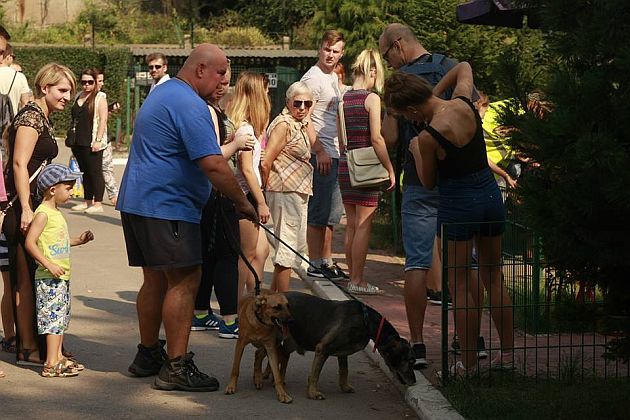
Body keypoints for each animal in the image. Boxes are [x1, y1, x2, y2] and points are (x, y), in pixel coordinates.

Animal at [264, 292, 418, 400]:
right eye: (410, 361)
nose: (414, 382)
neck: (366, 321)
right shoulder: (323, 349)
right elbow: (315, 374)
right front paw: (313, 392)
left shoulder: (343, 352)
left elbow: (344, 370)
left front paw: (344, 387)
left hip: (290, 341)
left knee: (278, 353)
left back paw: (272, 375)